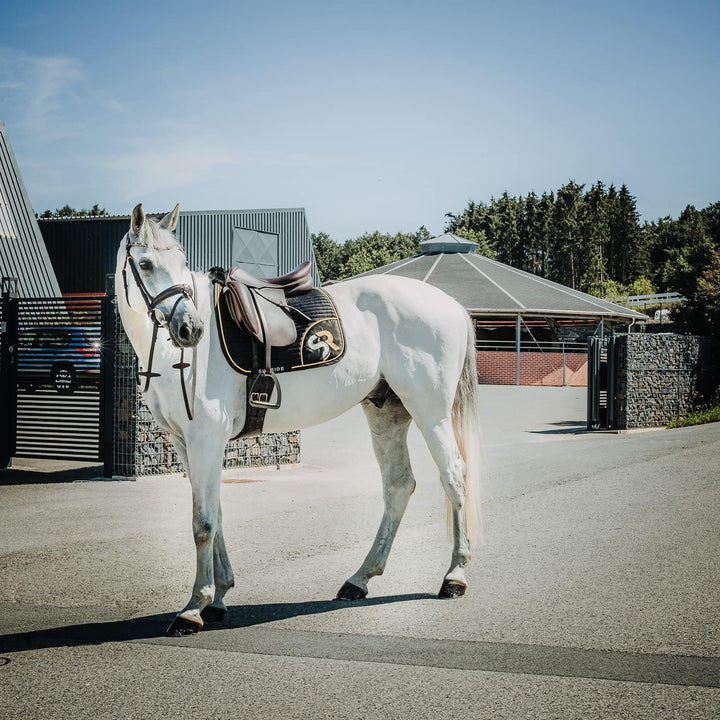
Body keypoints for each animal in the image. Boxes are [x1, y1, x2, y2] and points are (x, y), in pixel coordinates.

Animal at [116, 203, 482, 636]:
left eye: (182, 262)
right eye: (145, 263)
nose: (191, 329)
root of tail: (451, 304)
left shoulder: (206, 439)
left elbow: (203, 522)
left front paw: (193, 607)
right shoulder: (185, 443)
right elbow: (215, 514)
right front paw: (219, 597)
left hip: (430, 411)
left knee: (454, 477)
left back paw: (454, 576)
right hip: (387, 412)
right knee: (398, 486)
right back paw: (360, 579)